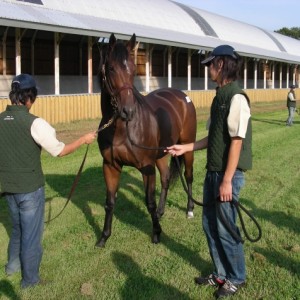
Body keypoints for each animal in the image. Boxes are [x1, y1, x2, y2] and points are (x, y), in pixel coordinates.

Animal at [96, 34, 198, 247]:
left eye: (134, 69)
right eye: (111, 68)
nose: (128, 111)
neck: (122, 131)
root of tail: (182, 96)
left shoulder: (146, 167)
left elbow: (148, 201)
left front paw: (157, 233)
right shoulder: (110, 166)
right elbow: (110, 202)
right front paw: (104, 236)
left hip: (187, 148)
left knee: (189, 176)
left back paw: (190, 209)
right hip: (162, 153)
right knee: (166, 178)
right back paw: (161, 211)